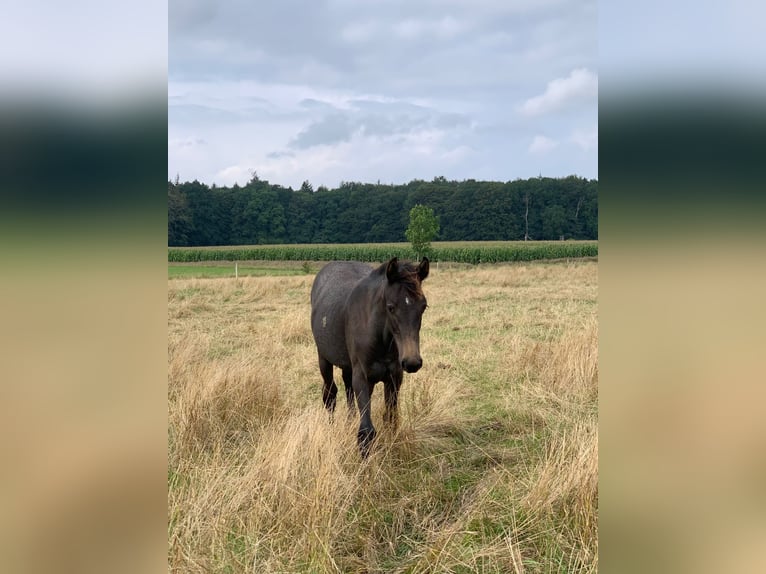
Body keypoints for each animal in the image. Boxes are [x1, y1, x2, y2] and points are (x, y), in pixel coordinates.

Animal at [312, 258, 432, 456]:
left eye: (423, 306)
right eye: (390, 307)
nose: (412, 362)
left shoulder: (394, 377)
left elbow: (391, 420)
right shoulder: (362, 377)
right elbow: (366, 430)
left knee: (348, 389)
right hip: (324, 359)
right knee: (330, 395)